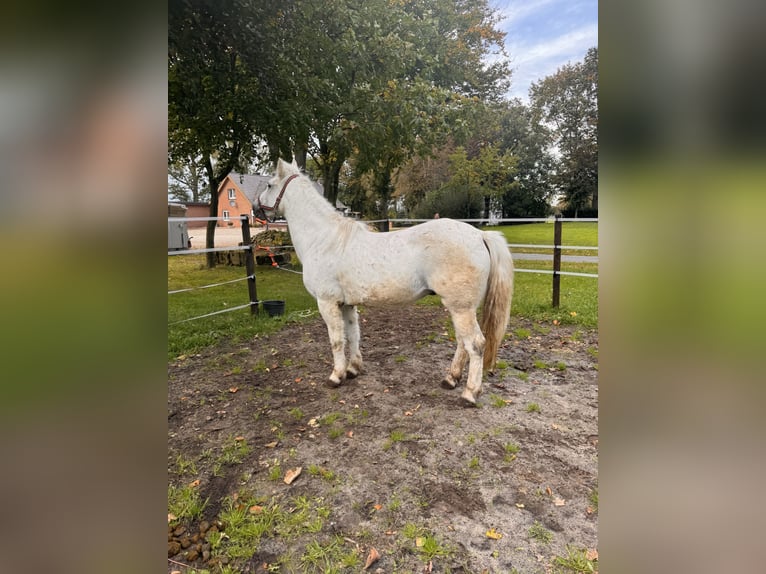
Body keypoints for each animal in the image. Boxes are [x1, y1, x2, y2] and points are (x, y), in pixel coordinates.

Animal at [258, 160, 516, 408]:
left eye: (269, 185)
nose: (257, 207)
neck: (324, 239)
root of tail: (480, 235)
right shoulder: (347, 304)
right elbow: (353, 334)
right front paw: (353, 369)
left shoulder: (327, 302)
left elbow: (336, 340)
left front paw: (336, 376)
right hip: (461, 308)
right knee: (463, 343)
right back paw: (450, 379)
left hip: (461, 308)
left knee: (475, 344)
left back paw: (469, 394)